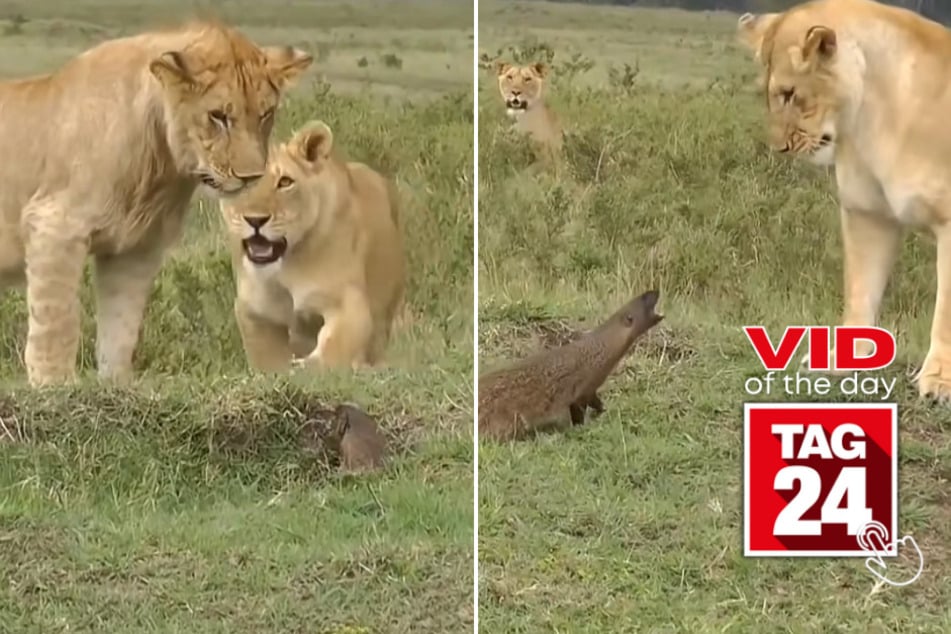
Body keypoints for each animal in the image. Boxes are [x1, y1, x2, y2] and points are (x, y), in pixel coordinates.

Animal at [0, 20, 312, 387]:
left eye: (265, 114)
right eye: (218, 116)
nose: (251, 178)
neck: (160, 166)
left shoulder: (135, 250)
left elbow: (121, 327)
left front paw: (116, 386)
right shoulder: (55, 225)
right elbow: (57, 319)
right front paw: (54, 385)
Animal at [219, 120, 406, 372]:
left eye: (285, 182)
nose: (255, 220)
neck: (285, 267)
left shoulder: (348, 304)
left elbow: (331, 352)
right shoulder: (254, 312)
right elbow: (268, 362)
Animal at [736, 0, 951, 401]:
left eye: (790, 93)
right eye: (770, 94)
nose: (779, 148)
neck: (871, 121)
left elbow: (946, 311)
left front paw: (939, 380)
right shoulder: (867, 214)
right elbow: (861, 290)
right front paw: (843, 361)